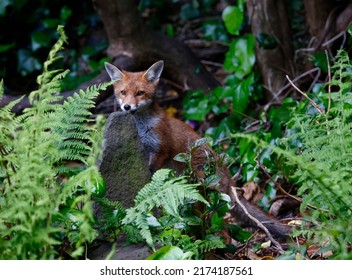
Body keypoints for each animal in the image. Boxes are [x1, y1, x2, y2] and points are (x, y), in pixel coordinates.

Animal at [104, 60, 292, 238]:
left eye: (140, 93)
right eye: (123, 92)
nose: (127, 107)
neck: (143, 127)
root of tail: (231, 182)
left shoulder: (161, 149)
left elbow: (153, 169)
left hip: (207, 191)